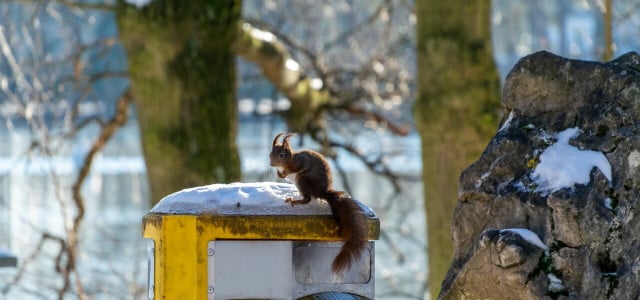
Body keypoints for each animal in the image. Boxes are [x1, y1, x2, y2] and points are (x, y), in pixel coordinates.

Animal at [268, 132, 368, 274]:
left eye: (281, 155)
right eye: (270, 153)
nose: (271, 163)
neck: (290, 158)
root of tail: (322, 191)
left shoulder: (300, 162)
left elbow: (296, 167)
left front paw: (284, 172)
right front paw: (279, 173)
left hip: (302, 179)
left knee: (308, 199)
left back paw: (294, 200)